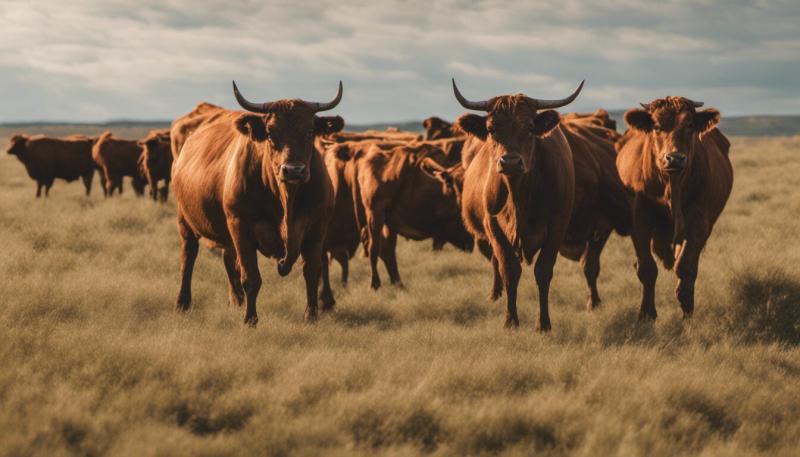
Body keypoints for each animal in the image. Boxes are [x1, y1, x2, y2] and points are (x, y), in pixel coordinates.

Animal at [172, 82, 344, 324]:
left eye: (310, 131)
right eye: (271, 132)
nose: (293, 170)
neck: (286, 200)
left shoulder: (318, 228)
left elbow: (312, 271)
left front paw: (311, 316)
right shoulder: (240, 225)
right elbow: (251, 277)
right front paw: (250, 320)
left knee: (228, 259)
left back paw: (236, 300)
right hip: (185, 222)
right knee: (188, 259)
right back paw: (183, 303)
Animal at [616, 95, 736, 318]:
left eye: (689, 125)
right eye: (656, 126)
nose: (674, 158)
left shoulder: (698, 223)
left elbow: (686, 267)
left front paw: (686, 308)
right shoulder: (639, 220)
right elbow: (647, 268)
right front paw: (646, 314)